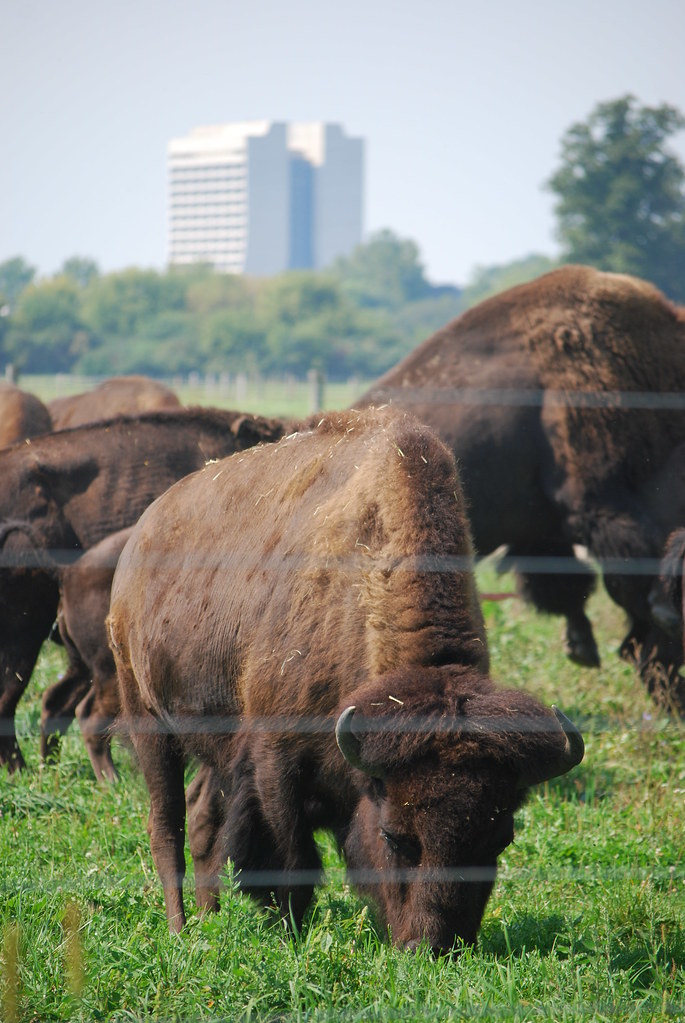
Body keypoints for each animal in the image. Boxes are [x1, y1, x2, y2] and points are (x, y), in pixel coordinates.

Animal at [109, 407, 584, 950]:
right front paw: (289, 936)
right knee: (166, 823)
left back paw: (210, 920)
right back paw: (180, 928)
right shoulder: (276, 761)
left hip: (216, 738)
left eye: (500, 838)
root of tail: (142, 535)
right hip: (146, 717)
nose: (433, 948)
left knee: (203, 814)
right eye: (394, 836)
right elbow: (291, 861)